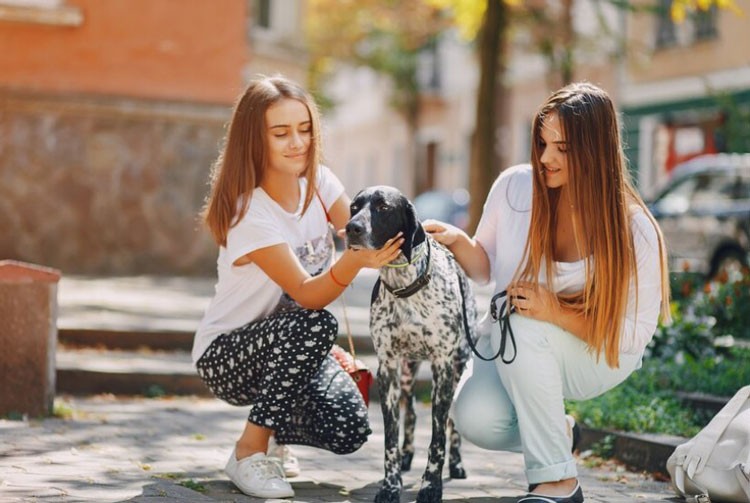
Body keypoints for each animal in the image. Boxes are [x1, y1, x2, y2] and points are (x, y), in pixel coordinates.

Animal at [346, 186, 478, 503]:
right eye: (354, 207)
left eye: (383, 207)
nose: (351, 228)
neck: (406, 288)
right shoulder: (388, 369)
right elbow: (390, 440)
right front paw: (390, 486)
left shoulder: (443, 368)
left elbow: (438, 437)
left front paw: (431, 486)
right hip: (407, 372)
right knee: (412, 413)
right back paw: (407, 456)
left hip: (458, 367)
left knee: (452, 424)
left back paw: (457, 464)